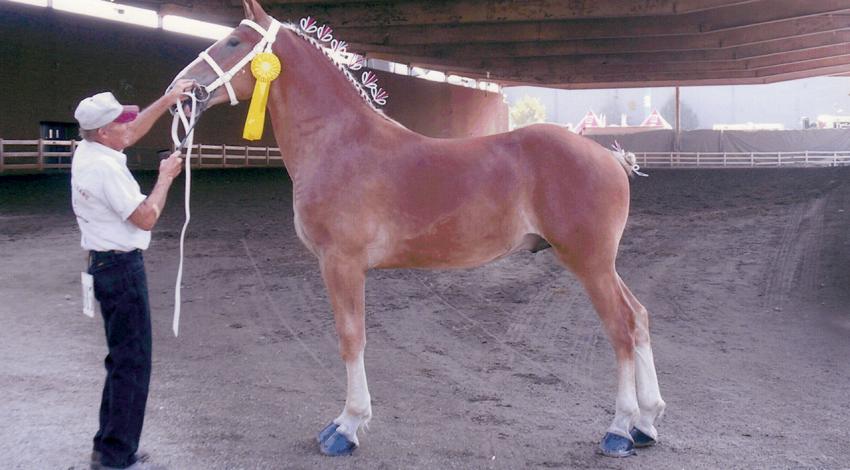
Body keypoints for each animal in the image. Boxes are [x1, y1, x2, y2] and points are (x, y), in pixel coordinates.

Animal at [172, 0, 664, 458]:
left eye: (234, 41)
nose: (180, 88)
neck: (340, 144)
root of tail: (610, 158)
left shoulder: (341, 264)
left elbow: (351, 338)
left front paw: (347, 427)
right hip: (600, 264)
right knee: (639, 317)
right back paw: (646, 423)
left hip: (589, 263)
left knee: (622, 329)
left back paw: (620, 430)